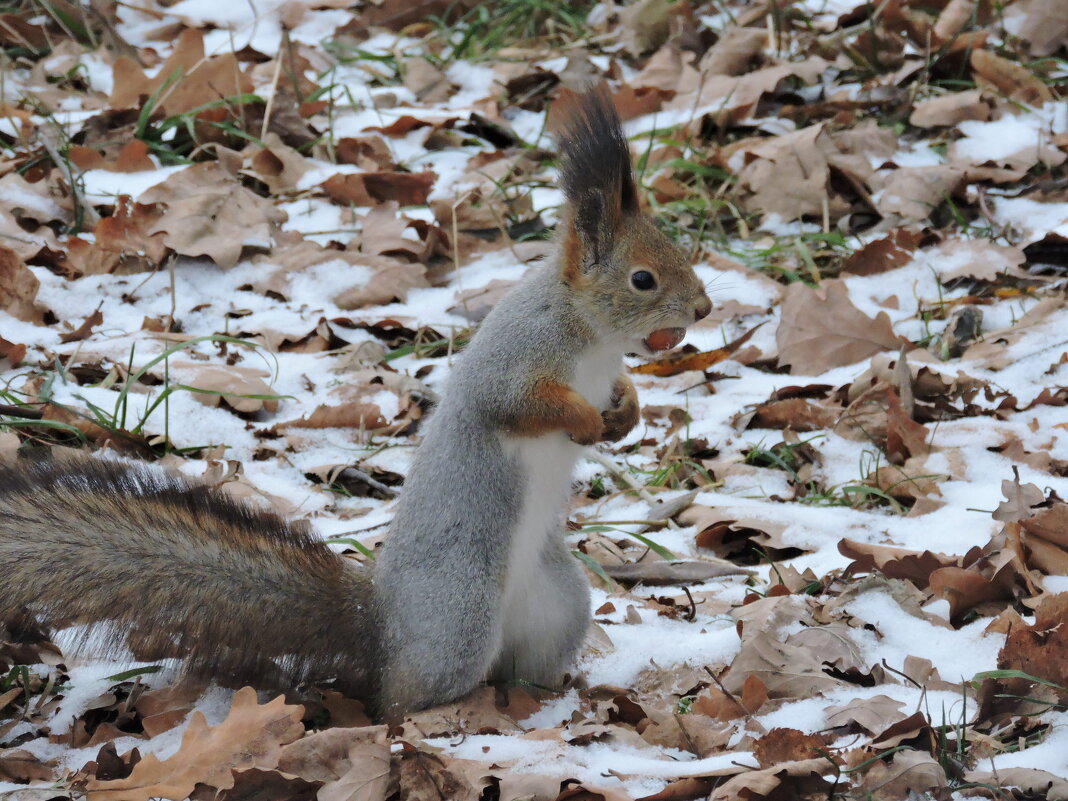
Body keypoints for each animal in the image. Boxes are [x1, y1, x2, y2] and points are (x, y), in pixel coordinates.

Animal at [4, 89, 713, 721]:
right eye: (642, 279)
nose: (705, 308)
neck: (591, 340)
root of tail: (382, 629)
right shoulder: (515, 356)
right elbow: (518, 404)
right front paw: (586, 419)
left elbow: (623, 392)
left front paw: (625, 413)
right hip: (460, 616)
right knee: (399, 697)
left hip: (558, 605)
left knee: (518, 667)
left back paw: (553, 698)